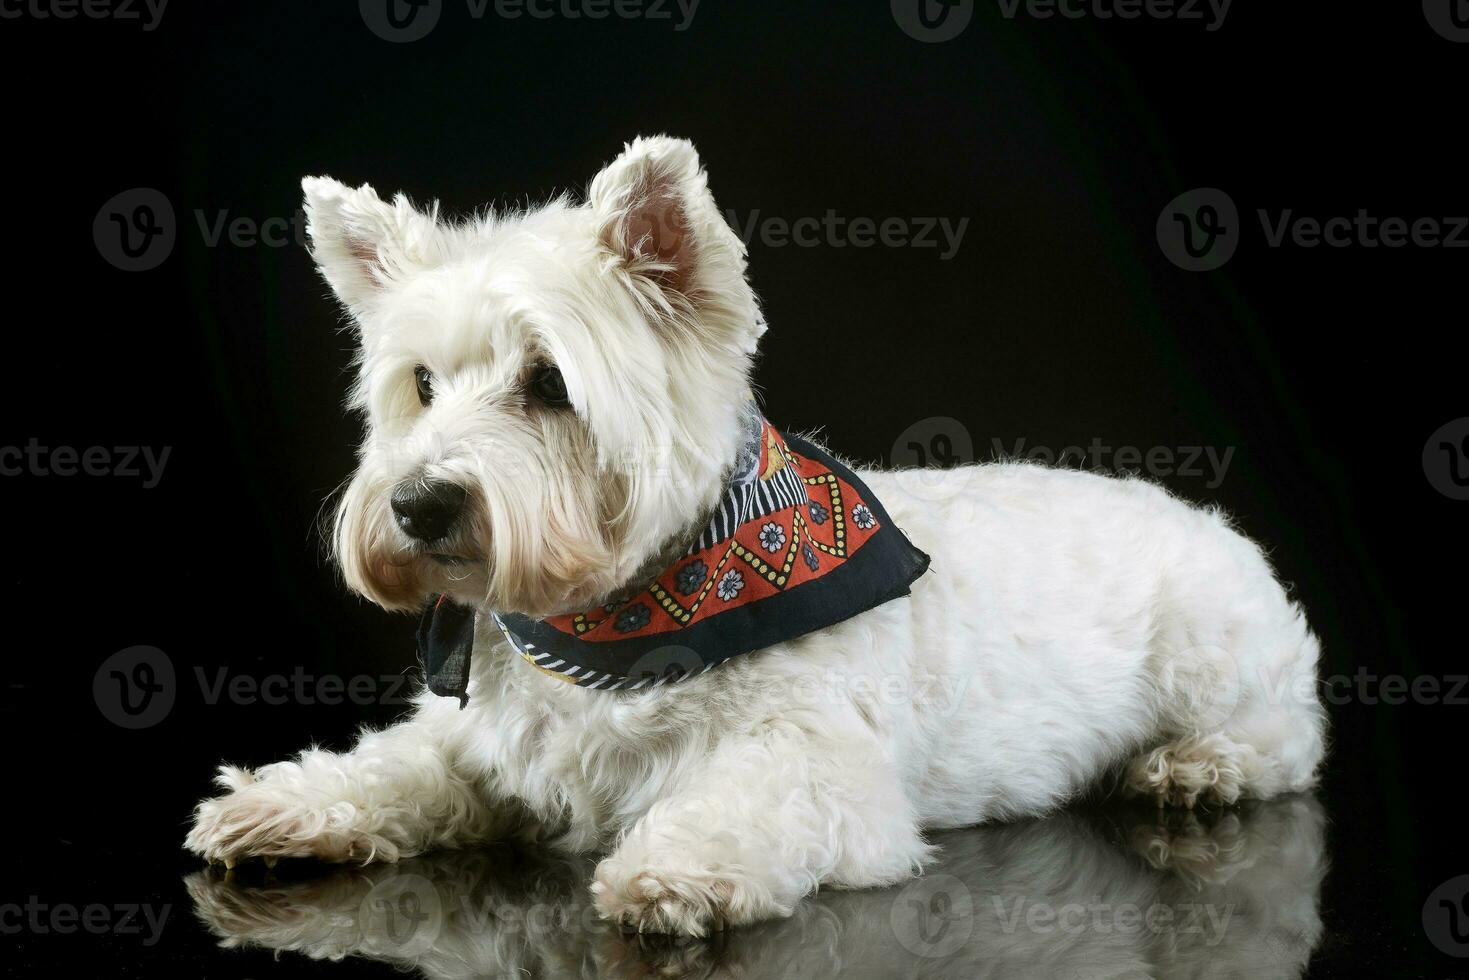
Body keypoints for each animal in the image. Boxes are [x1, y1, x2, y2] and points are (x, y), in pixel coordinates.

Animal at [186, 134, 1333, 940]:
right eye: (420, 383)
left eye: (549, 381)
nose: (419, 506)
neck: (615, 616)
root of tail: (1199, 514)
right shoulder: (477, 745)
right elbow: (391, 765)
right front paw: (283, 802)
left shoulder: (824, 767)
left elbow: (748, 799)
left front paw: (679, 868)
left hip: (1212, 654)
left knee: (1287, 736)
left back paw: (1194, 767)